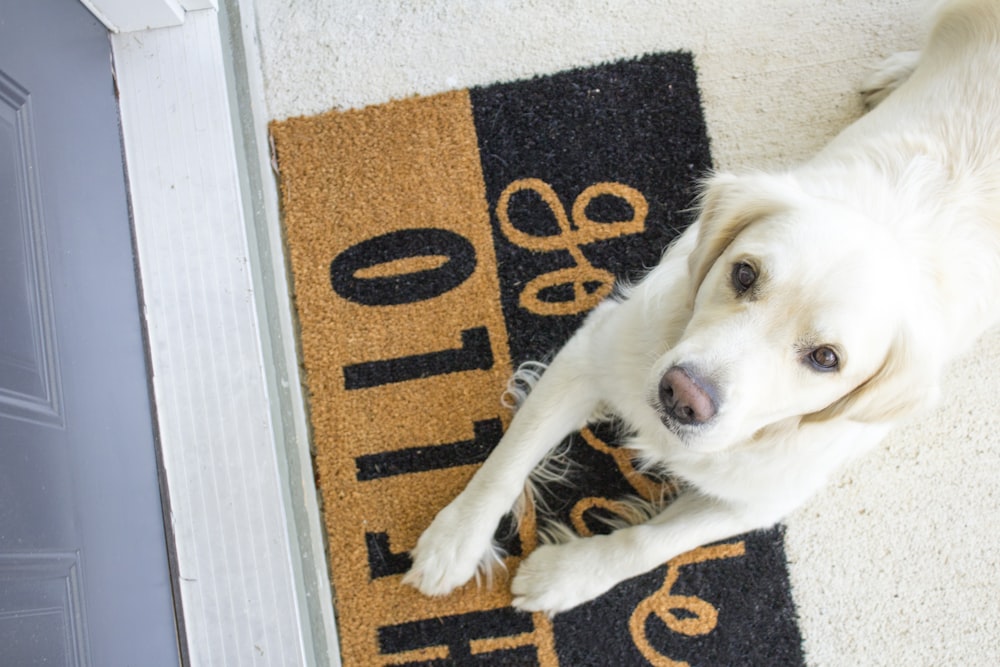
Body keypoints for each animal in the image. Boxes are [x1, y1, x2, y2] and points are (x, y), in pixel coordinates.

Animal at [402, 0, 996, 616]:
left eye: (827, 358)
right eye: (744, 273)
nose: (683, 397)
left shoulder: (762, 498)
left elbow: (650, 542)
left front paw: (569, 574)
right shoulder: (596, 348)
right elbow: (510, 455)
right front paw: (455, 538)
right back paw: (898, 70)